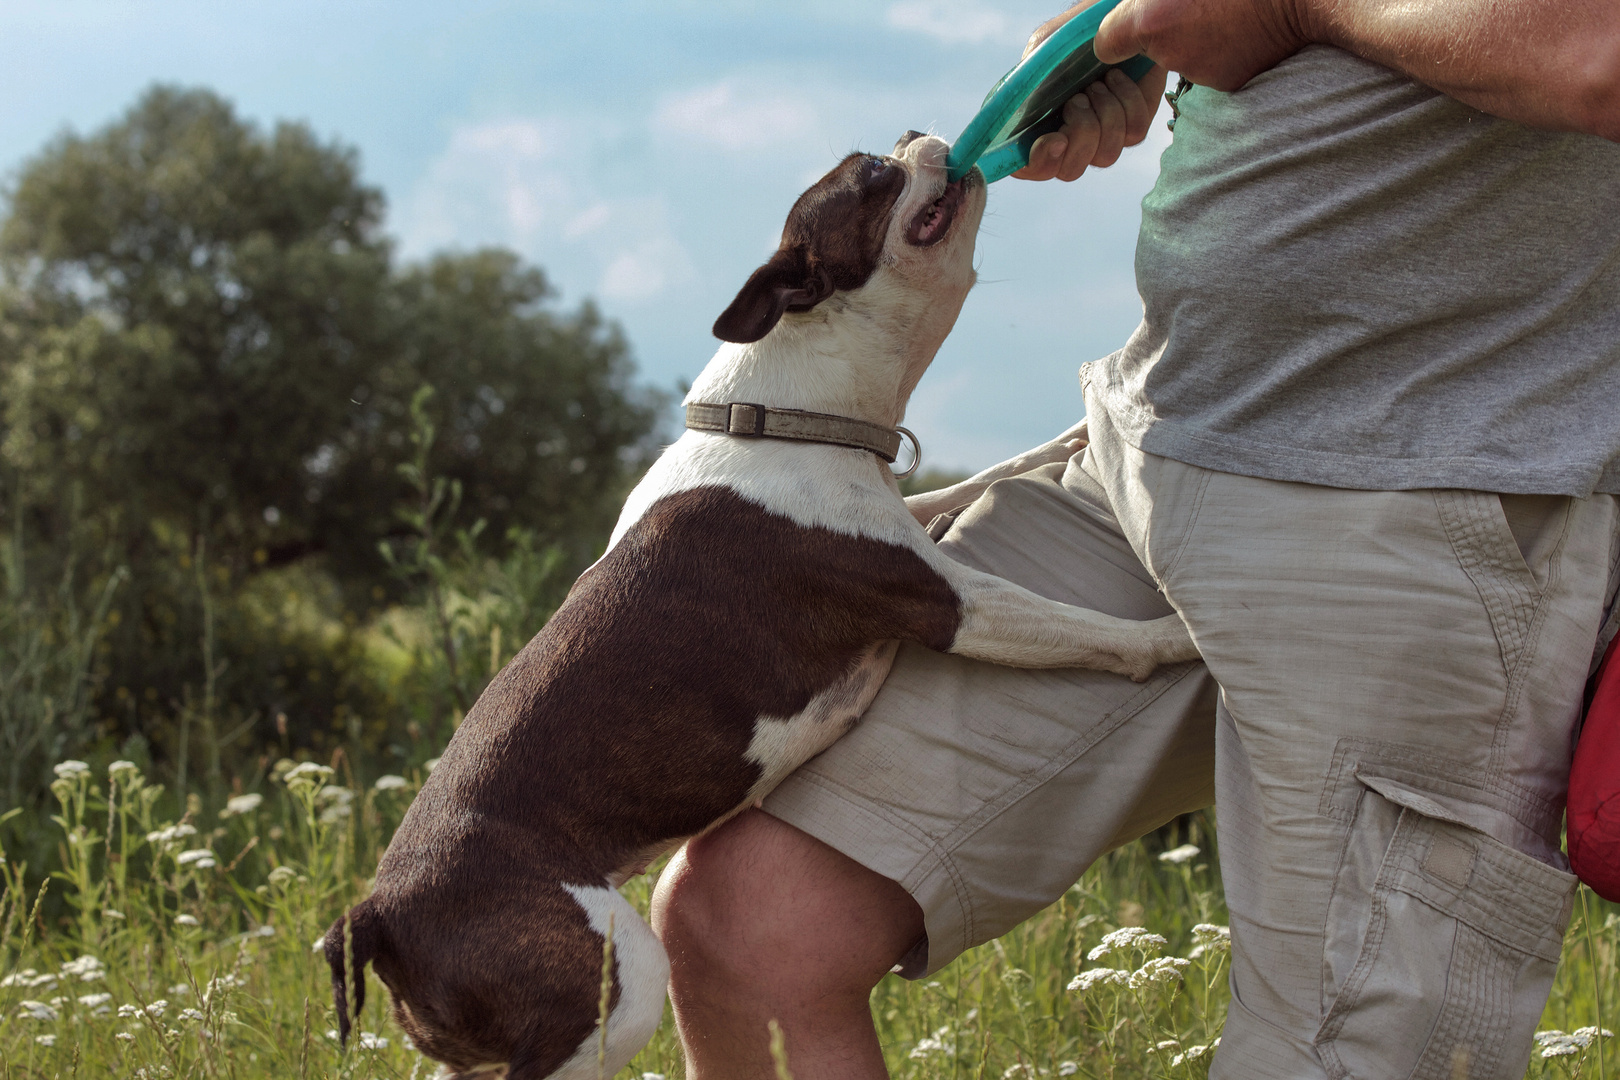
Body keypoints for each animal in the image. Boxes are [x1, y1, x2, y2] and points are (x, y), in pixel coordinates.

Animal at [322, 132, 1198, 1080]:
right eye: (873, 176)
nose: (916, 135)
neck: (779, 413)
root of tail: (377, 911)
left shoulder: (911, 526)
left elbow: (981, 477)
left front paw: (1069, 436)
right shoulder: (950, 600)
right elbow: (1091, 630)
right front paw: (1180, 638)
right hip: (614, 987)